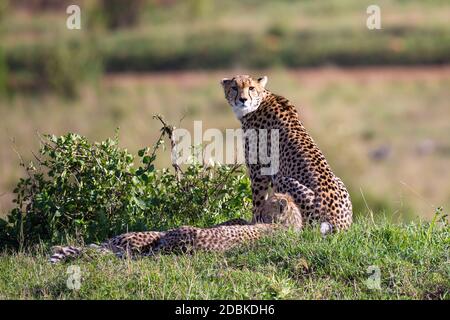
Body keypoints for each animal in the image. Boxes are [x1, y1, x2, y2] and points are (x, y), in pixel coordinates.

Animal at [221, 75, 352, 235]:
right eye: (234, 88)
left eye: (251, 88)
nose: (243, 99)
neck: (259, 102)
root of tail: (340, 223)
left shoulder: (258, 169)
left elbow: (258, 200)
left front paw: (254, 222)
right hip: (339, 182)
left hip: (284, 181)